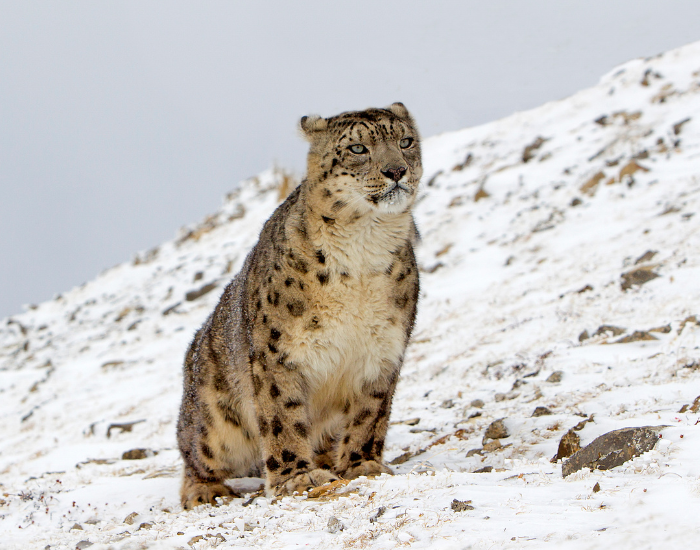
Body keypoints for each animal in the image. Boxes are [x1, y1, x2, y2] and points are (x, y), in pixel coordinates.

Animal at [176, 102, 422, 509]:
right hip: (214, 422)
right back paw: (204, 490)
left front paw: (363, 465)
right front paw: (297, 478)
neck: (364, 251)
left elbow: (370, 413)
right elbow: (283, 417)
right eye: (358, 148)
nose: (396, 170)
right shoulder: (279, 353)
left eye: (405, 141)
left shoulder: (383, 349)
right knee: (194, 450)